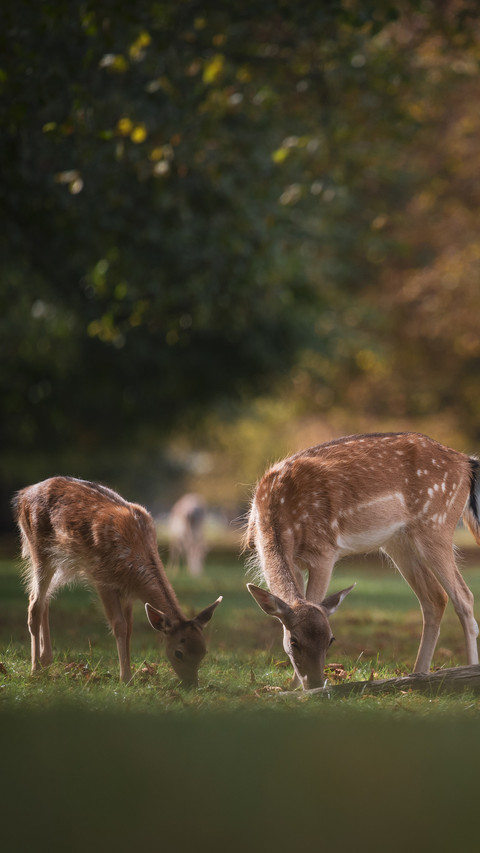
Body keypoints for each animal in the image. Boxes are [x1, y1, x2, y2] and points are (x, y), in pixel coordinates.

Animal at [13, 477, 222, 686]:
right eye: (178, 653)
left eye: (204, 651)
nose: (192, 684)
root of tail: (22, 495)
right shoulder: (103, 579)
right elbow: (119, 626)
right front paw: (126, 678)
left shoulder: (127, 592)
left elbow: (129, 628)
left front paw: (129, 673)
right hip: (39, 547)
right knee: (34, 603)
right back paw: (35, 669)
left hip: (59, 560)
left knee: (44, 599)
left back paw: (46, 659)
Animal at [245, 432, 480, 690]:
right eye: (294, 641)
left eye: (331, 639)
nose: (315, 684)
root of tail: (466, 462)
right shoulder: (293, 560)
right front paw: (290, 687)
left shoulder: (323, 550)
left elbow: (314, 600)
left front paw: (295, 688)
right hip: (399, 542)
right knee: (435, 597)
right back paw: (418, 675)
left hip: (437, 524)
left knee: (464, 597)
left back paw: (467, 671)